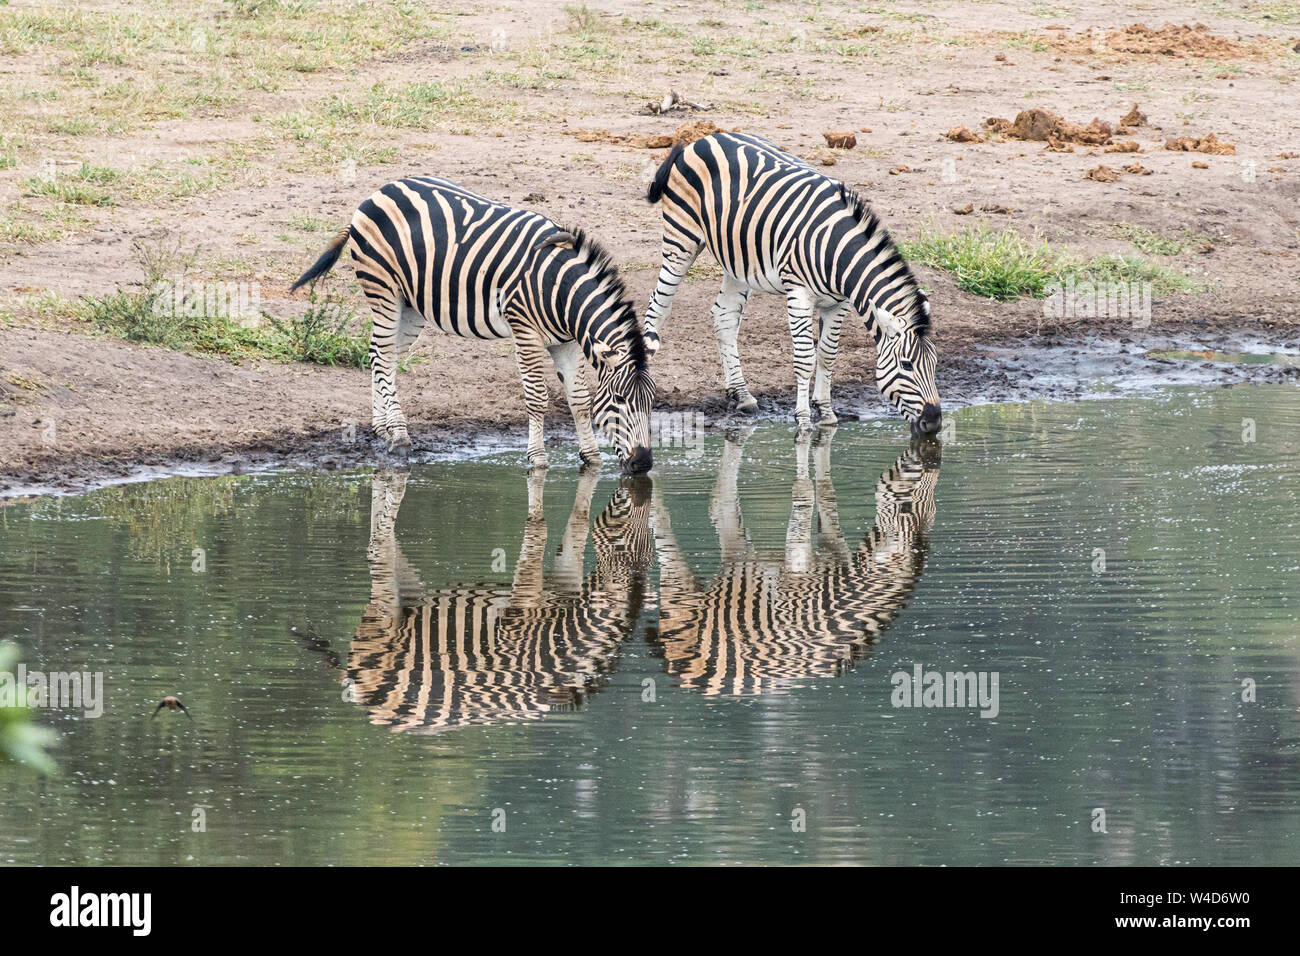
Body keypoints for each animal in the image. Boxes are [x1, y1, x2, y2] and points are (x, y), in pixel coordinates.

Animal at [297, 176, 660, 476]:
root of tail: (377, 192)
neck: (561, 289)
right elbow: (537, 397)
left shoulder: (566, 341)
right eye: (620, 401)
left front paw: (591, 458)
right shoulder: (525, 330)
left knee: (379, 355)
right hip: (383, 288)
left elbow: (580, 399)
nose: (643, 464)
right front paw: (538, 460)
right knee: (384, 355)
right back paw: (398, 435)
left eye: (651, 403)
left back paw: (382, 428)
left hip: (411, 304)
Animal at [642, 130, 941, 437]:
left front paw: (826, 413)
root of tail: (703, 139)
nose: (934, 423)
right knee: (659, 303)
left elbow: (827, 354)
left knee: (724, 317)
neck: (837, 250)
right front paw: (804, 420)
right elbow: (805, 358)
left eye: (935, 364)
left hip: (736, 259)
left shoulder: (839, 302)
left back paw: (742, 395)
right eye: (906, 365)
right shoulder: (799, 294)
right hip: (681, 237)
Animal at [647, 429, 935, 697]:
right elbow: (805, 495)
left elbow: (827, 496)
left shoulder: (832, 553)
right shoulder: (795, 576)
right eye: (907, 505)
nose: (927, 457)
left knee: (721, 508)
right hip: (684, 604)